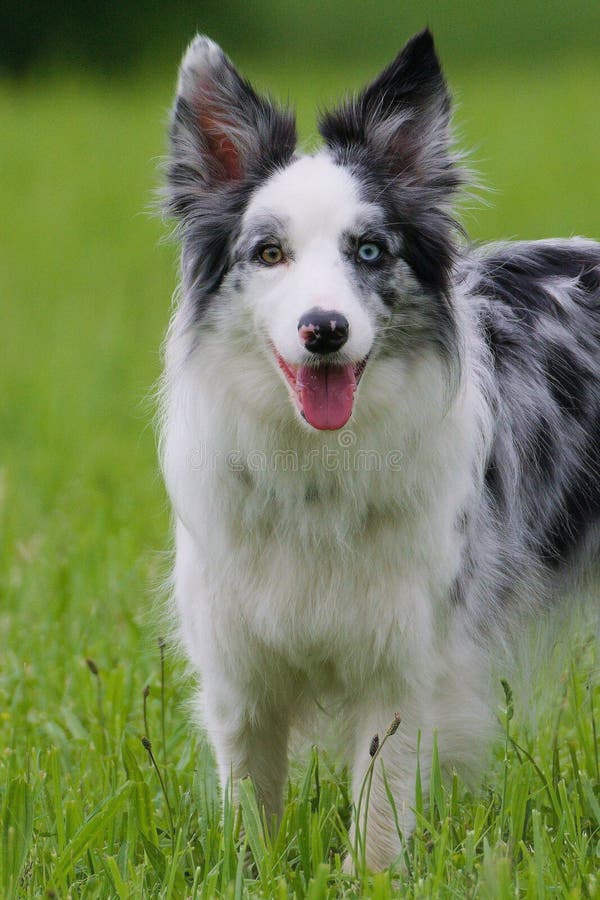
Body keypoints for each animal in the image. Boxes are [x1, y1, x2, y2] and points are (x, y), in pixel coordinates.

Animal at [161, 29, 600, 872]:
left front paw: (368, 877)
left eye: (368, 250)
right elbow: (250, 806)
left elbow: (380, 806)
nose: (324, 329)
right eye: (268, 253)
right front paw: (255, 875)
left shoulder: (406, 661)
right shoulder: (239, 672)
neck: (317, 469)